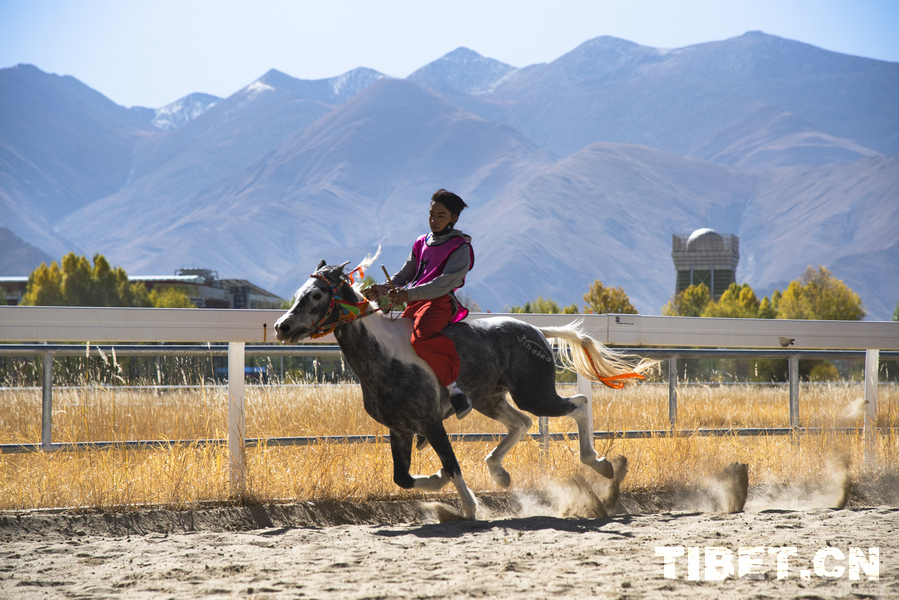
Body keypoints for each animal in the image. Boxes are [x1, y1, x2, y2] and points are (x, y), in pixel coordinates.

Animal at [270, 251, 656, 516]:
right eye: (299, 291)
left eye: (316, 295)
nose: (282, 326)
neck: (384, 355)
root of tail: (535, 330)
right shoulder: (399, 429)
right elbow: (402, 478)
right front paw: (438, 480)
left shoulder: (430, 422)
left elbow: (452, 463)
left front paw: (468, 506)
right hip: (490, 399)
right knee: (522, 422)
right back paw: (499, 472)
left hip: (533, 393)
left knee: (578, 404)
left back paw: (601, 464)